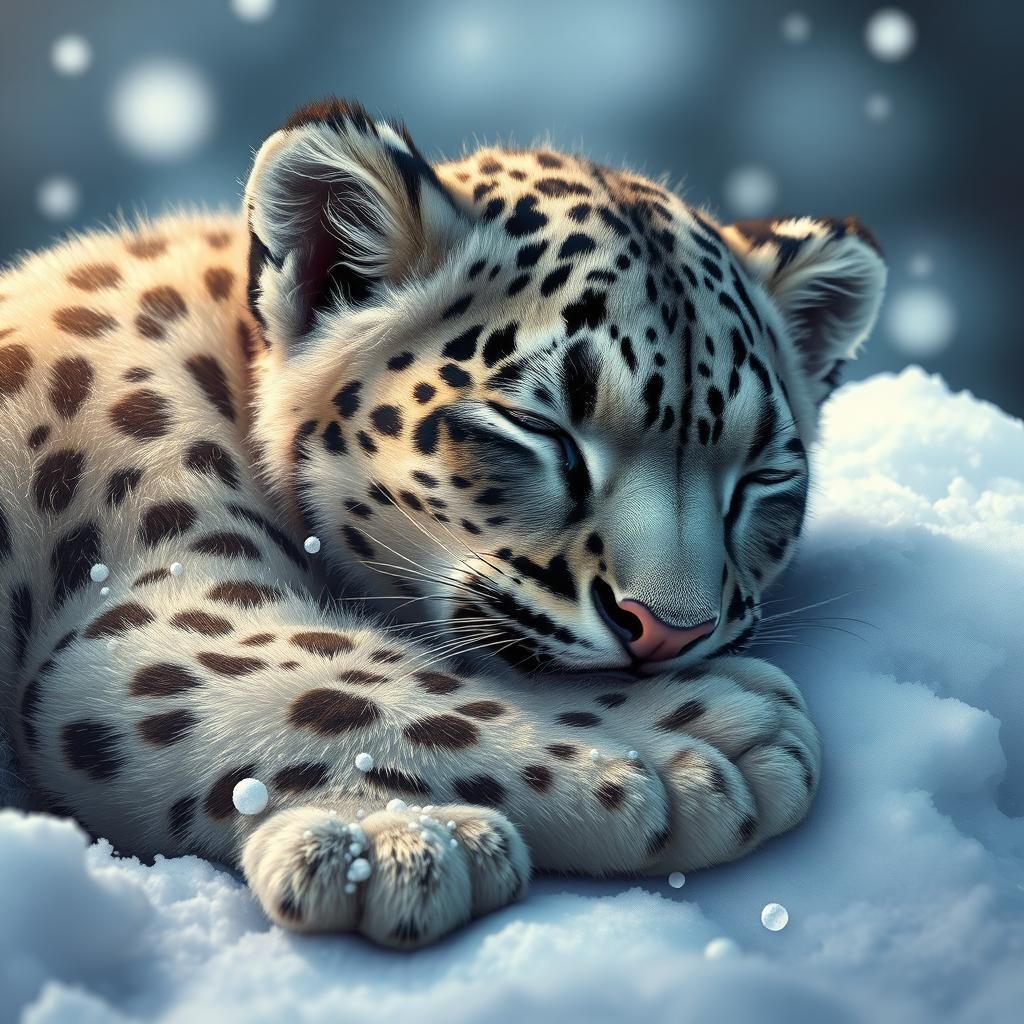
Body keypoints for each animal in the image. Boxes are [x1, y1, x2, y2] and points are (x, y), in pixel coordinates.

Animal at [0, 98, 886, 948]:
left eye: (762, 477)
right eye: (542, 430)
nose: (672, 634)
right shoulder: (159, 600)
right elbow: (360, 676)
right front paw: (698, 737)